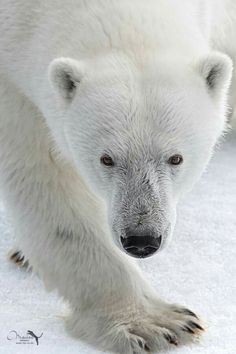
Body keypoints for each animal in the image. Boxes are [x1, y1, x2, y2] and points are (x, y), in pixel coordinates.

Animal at [0, 0, 235, 354]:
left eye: (176, 158)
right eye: (106, 159)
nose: (141, 240)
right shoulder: (12, 75)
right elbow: (46, 179)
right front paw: (156, 325)